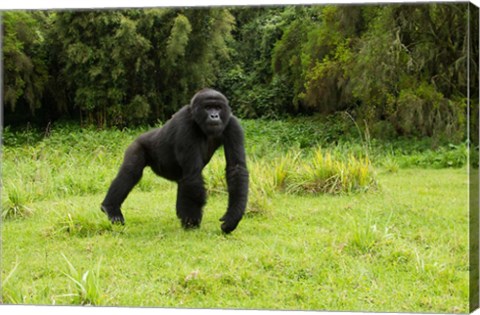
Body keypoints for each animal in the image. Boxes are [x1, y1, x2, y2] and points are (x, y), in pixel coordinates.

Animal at [101, 89, 251, 235]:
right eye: (208, 107)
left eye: (218, 108)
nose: (214, 116)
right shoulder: (185, 124)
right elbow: (193, 173)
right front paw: (192, 221)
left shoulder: (232, 124)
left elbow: (236, 168)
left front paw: (233, 216)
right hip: (137, 144)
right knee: (131, 172)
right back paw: (110, 208)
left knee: (182, 182)